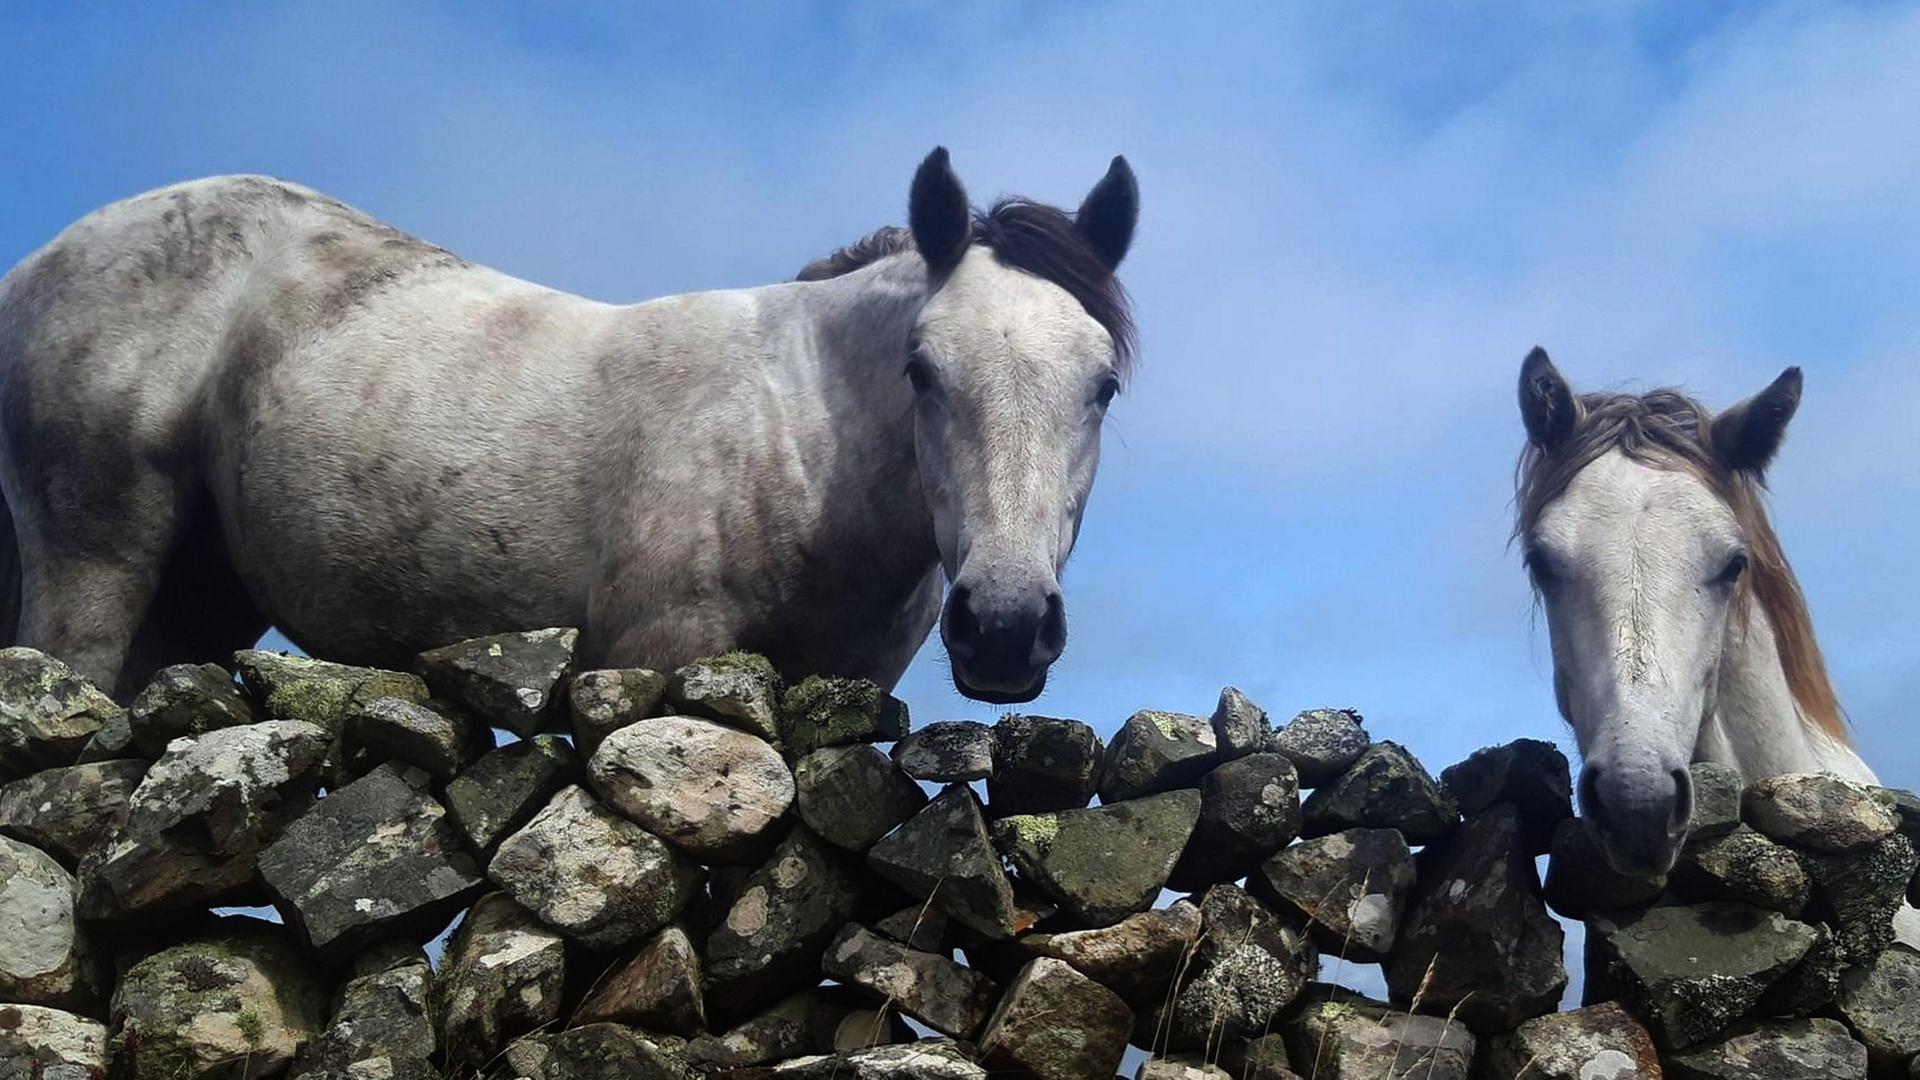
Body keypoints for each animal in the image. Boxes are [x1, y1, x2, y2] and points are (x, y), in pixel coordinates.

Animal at [0, 147, 1138, 705]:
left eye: (1102, 385)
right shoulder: (652, 662)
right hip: (94, 573)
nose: (1003, 622)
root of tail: (38, 265)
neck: (800, 446)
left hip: (199, 603)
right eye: (922, 370)